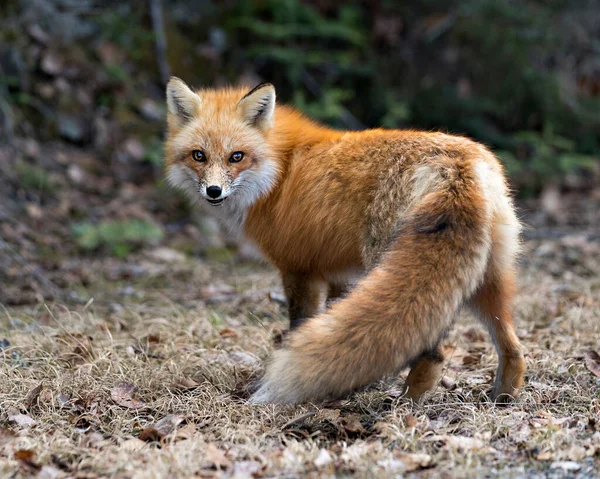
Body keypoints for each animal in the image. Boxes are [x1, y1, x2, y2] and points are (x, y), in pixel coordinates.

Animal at [163, 78, 524, 404]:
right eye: (198, 156)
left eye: (236, 157)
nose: (213, 192)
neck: (279, 171)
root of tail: (457, 165)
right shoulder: (339, 274)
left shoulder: (299, 270)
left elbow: (300, 326)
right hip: (487, 279)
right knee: (514, 347)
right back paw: (503, 398)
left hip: (393, 263)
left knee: (434, 353)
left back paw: (405, 404)